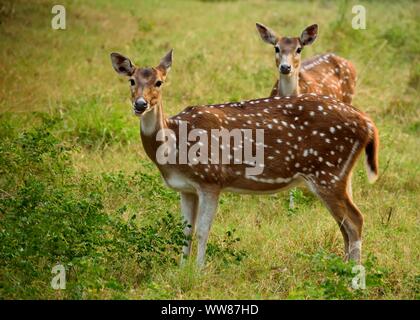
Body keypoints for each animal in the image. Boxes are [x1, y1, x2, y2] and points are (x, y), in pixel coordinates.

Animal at [110, 48, 378, 266]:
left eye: (159, 82)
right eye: (131, 80)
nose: (140, 104)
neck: (174, 146)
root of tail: (368, 123)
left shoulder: (211, 179)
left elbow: (203, 230)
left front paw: (198, 272)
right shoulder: (186, 188)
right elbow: (185, 231)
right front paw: (180, 270)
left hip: (327, 171)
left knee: (355, 220)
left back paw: (351, 275)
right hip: (341, 173)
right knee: (346, 224)